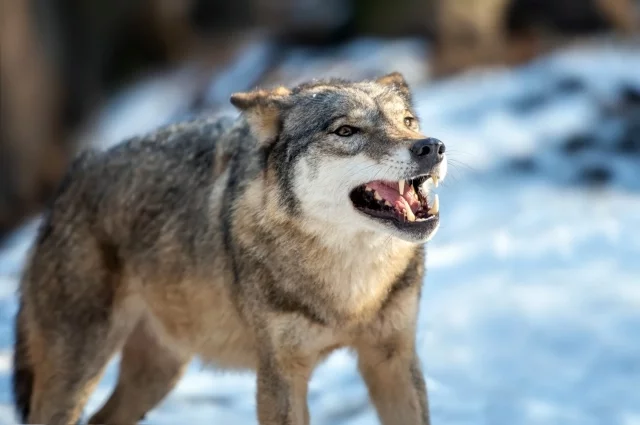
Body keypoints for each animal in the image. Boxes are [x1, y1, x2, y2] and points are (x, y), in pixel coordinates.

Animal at [12, 71, 448, 422]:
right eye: (346, 131)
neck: (351, 290)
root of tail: (74, 174)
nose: (431, 146)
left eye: (408, 122)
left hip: (158, 373)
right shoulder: (279, 374)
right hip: (76, 374)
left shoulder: (393, 361)